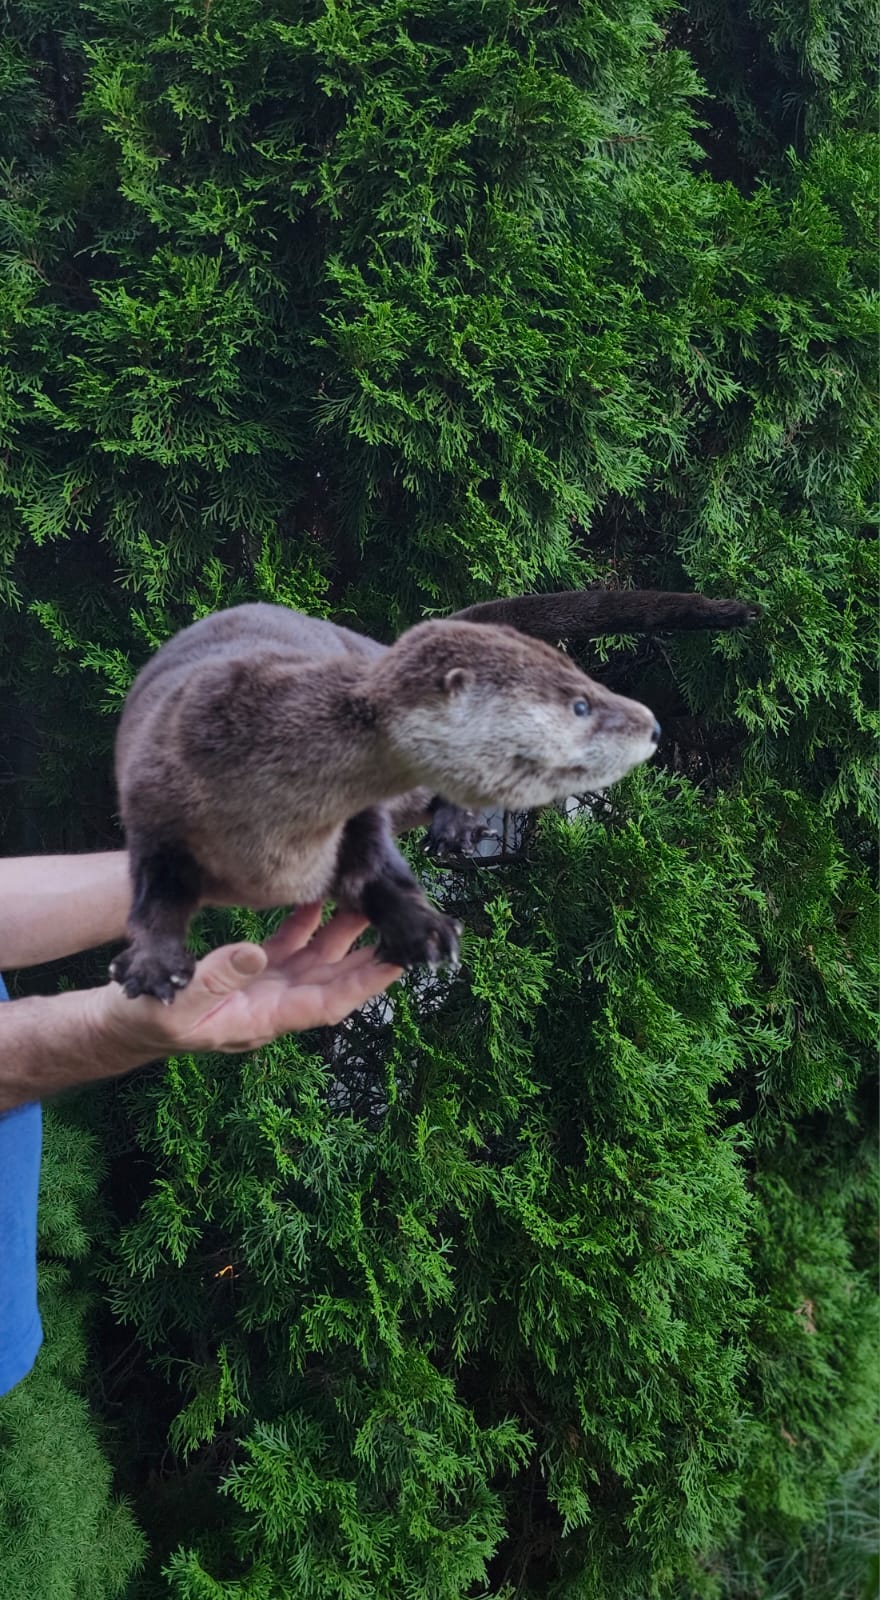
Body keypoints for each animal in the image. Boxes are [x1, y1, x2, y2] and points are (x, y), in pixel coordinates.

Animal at [110, 589, 757, 1001]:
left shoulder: (359, 815)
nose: (653, 725)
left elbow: (374, 870)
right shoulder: (154, 795)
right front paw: (153, 965)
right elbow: (153, 891)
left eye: (590, 685)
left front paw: (419, 929)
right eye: (580, 704)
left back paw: (458, 831)